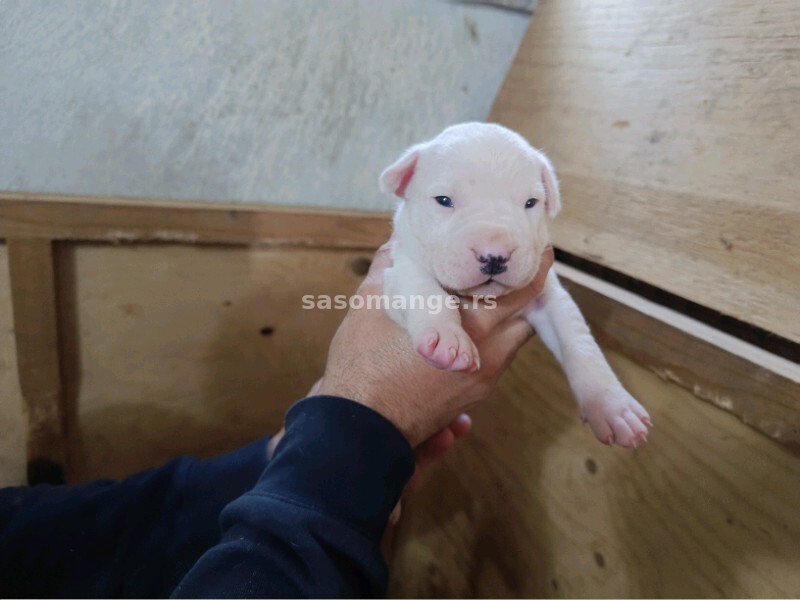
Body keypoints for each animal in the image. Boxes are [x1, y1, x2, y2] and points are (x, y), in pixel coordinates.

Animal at [380, 122, 648, 448]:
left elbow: (579, 343)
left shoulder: (549, 294)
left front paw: (613, 406)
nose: (495, 255)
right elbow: (423, 288)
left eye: (530, 203)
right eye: (443, 200)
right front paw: (446, 337)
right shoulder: (399, 267)